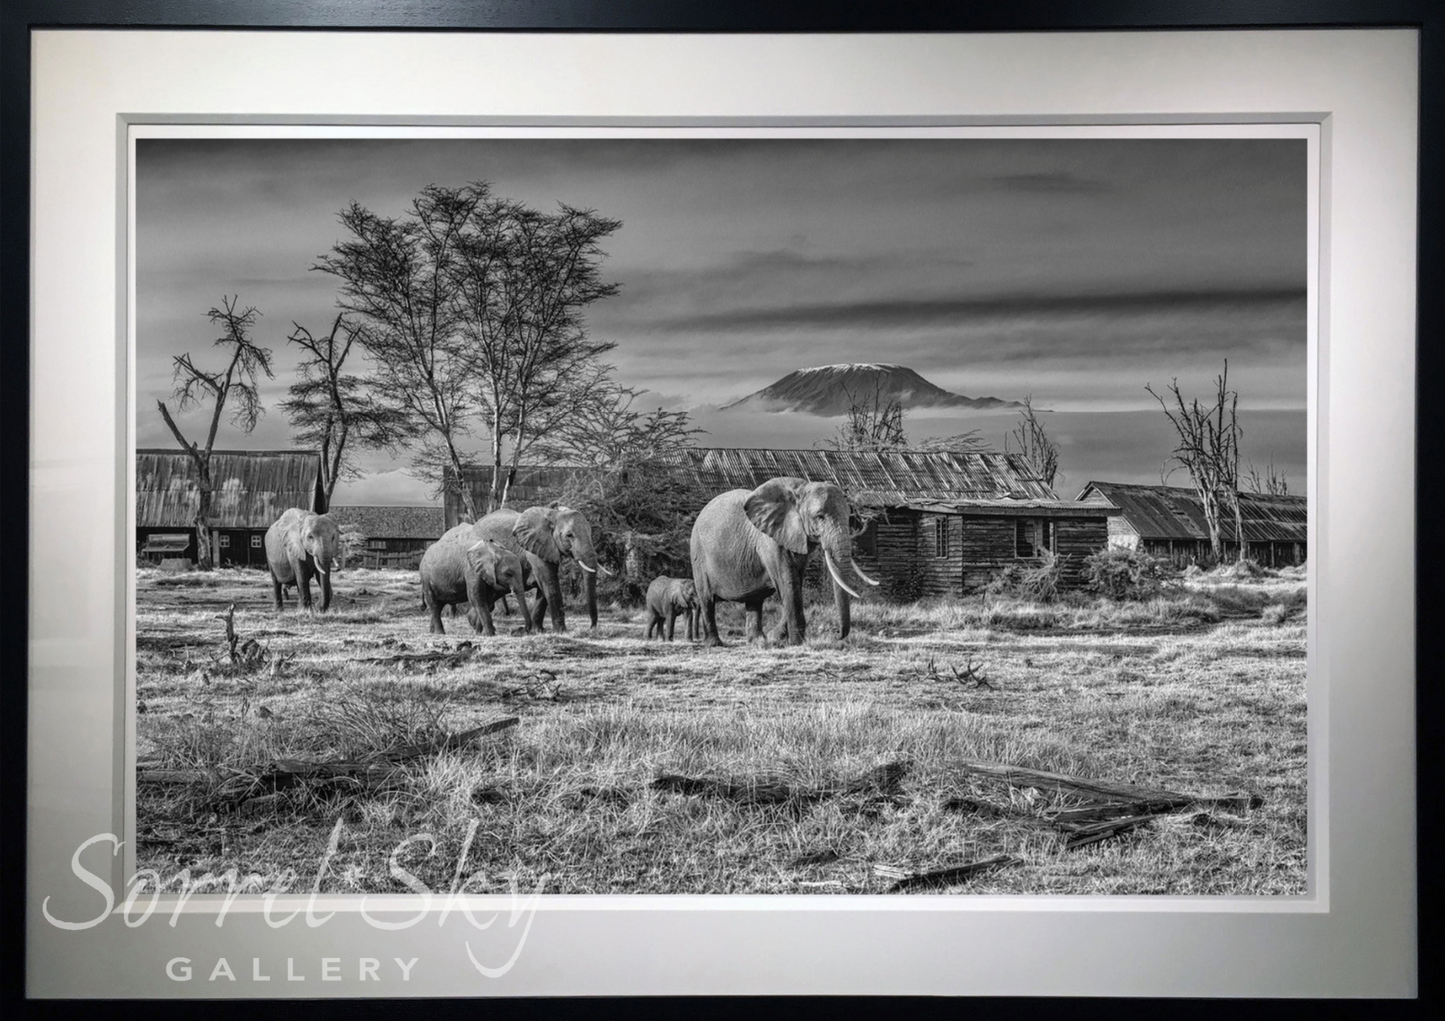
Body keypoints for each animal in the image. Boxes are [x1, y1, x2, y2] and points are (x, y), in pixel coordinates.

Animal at [690, 476, 878, 646]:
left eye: (849, 516)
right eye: (820, 516)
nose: (837, 634)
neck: (800, 490)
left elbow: (796, 583)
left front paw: (776, 637)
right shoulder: (770, 541)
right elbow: (789, 583)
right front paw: (796, 643)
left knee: (754, 600)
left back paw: (758, 642)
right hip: (698, 554)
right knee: (707, 598)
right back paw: (715, 643)